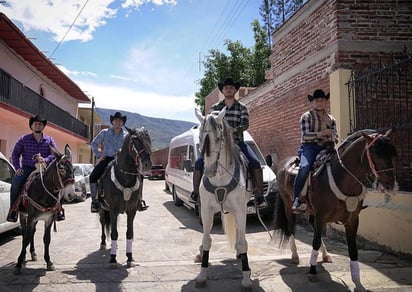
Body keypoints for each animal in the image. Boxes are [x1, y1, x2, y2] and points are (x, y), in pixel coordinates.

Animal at [195, 108, 253, 290]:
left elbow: (242, 242)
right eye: (200, 139)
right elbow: (207, 240)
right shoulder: (206, 211)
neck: (220, 177)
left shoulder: (241, 210)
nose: (210, 170)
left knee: (240, 235)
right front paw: (202, 275)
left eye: (219, 138)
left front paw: (246, 277)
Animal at [274, 129, 396, 292]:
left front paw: (357, 281)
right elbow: (315, 242)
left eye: (393, 152)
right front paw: (312, 271)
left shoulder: (352, 220)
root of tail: (283, 163)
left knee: (312, 226)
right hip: (289, 205)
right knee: (291, 226)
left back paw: (325, 255)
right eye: (375, 154)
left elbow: (353, 249)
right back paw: (295, 256)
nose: (390, 186)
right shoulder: (321, 216)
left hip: (313, 211)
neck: (342, 178)